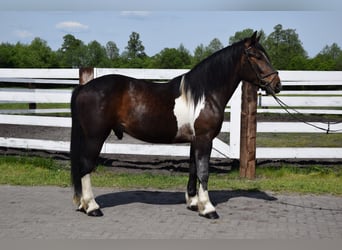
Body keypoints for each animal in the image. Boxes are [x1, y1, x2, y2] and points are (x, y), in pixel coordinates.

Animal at [69, 31, 280, 219]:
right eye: (256, 56)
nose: (277, 84)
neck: (204, 94)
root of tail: (84, 88)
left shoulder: (195, 140)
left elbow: (193, 169)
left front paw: (194, 203)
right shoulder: (205, 140)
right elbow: (204, 172)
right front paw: (208, 209)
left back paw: (83, 204)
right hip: (95, 137)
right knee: (85, 166)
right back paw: (92, 207)